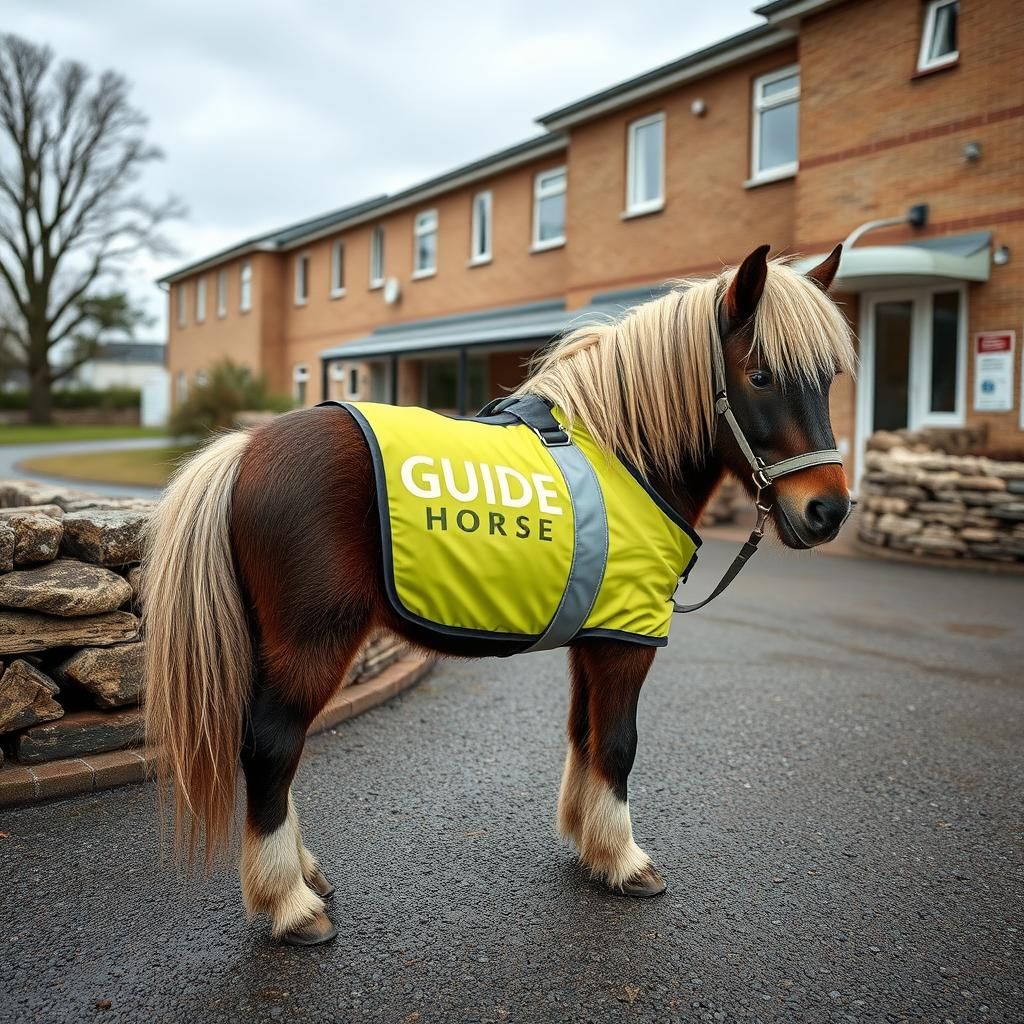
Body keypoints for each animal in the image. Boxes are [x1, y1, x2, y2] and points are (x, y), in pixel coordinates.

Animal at [143, 243, 856, 946]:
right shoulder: (628, 641)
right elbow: (618, 744)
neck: (624, 455)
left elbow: (584, 733)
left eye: (827, 379)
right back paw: (288, 901)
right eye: (759, 376)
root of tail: (248, 447)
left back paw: (304, 874)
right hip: (314, 643)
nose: (828, 510)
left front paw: (589, 844)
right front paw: (623, 859)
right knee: (272, 746)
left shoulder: (596, 637)